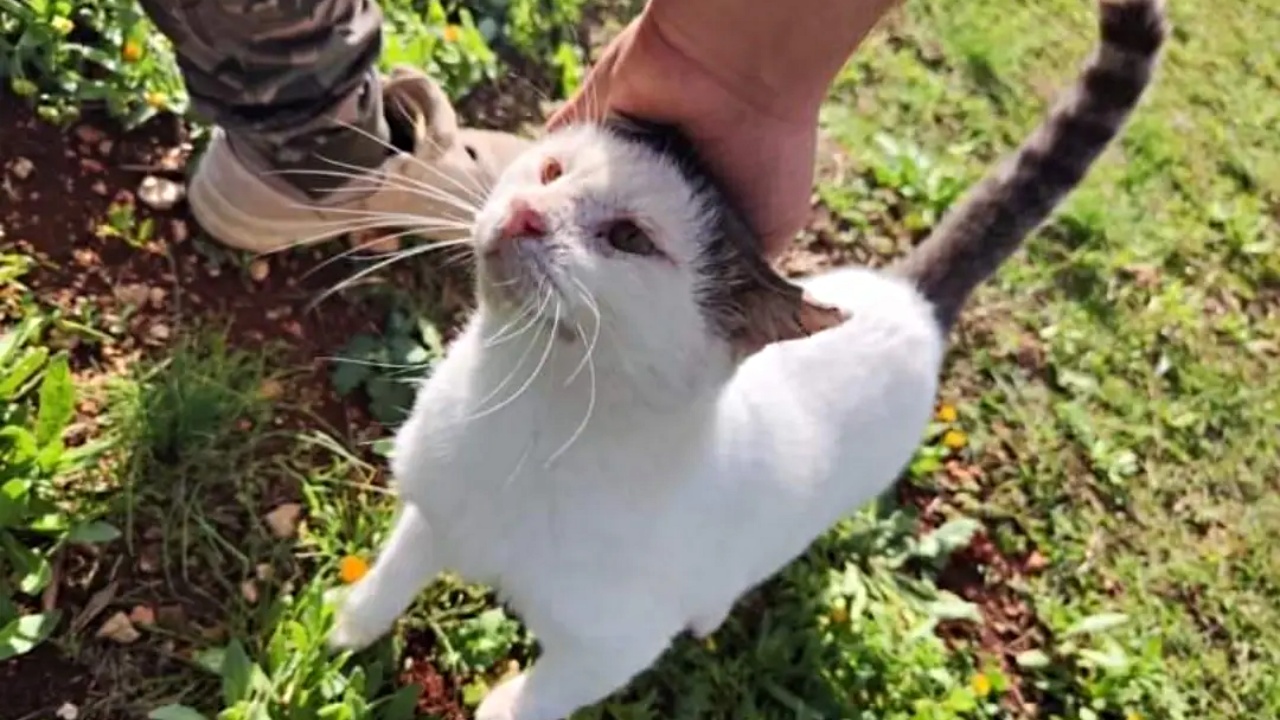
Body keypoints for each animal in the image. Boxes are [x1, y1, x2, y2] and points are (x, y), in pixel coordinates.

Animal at [325, 2, 1167, 712]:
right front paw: (349, 627)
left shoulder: (606, 651)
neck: (526, 412)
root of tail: (909, 298)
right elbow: (394, 572)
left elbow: (534, 699)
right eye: (552, 171)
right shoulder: (433, 511)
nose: (528, 212)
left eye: (628, 237)